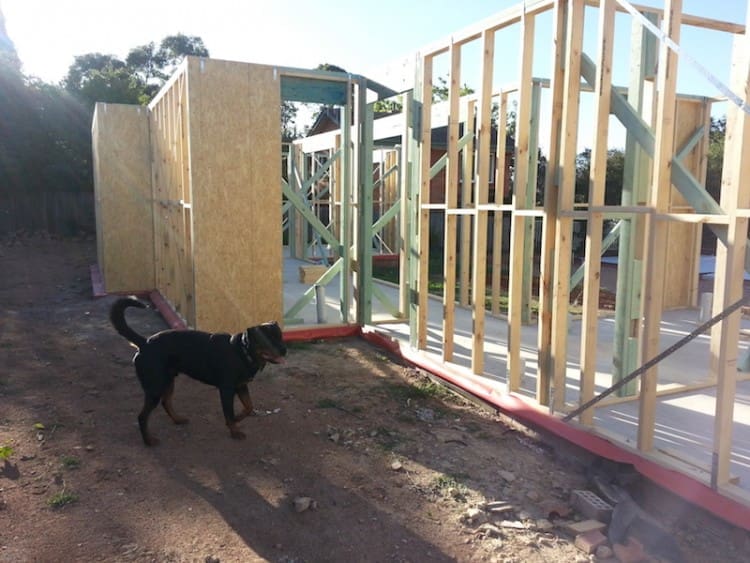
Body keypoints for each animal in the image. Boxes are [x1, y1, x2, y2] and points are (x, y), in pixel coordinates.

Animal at [110, 298, 286, 448]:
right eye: (267, 340)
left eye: (281, 336)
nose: (284, 350)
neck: (242, 352)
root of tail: (144, 343)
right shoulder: (226, 389)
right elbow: (229, 413)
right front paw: (234, 431)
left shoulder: (241, 386)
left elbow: (249, 406)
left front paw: (238, 418)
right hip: (155, 388)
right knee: (142, 416)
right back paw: (149, 441)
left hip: (168, 381)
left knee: (166, 402)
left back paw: (178, 419)